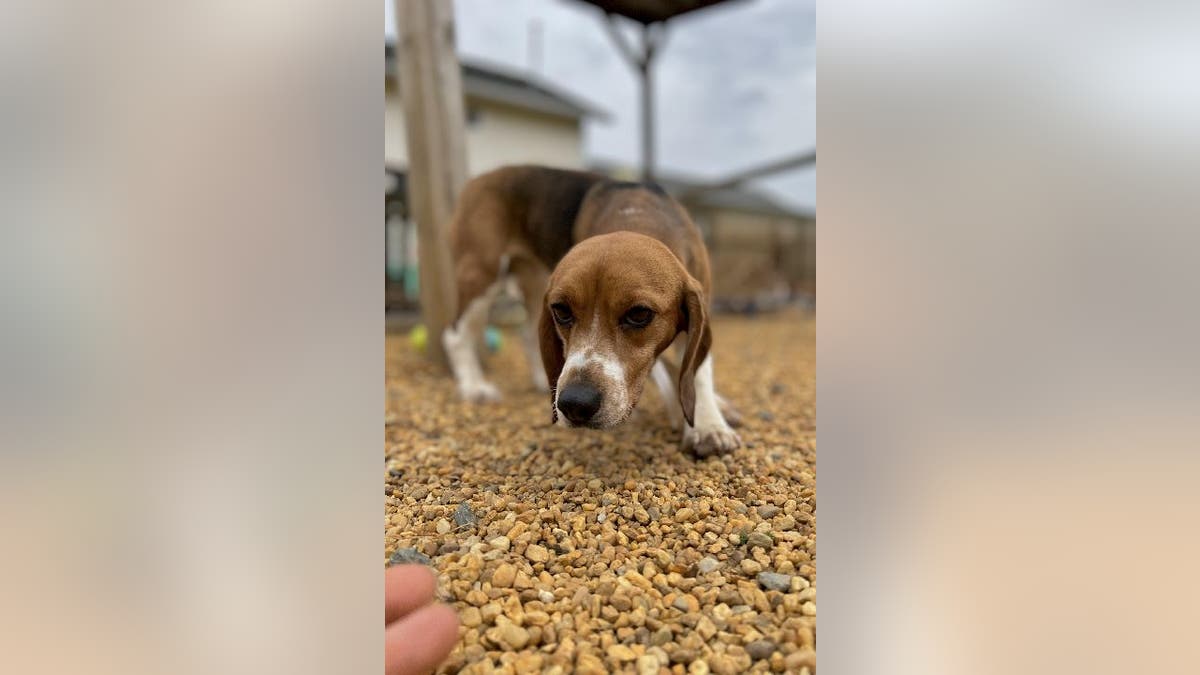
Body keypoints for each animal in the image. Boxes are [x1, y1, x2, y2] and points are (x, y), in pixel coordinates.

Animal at [441, 164, 739, 454]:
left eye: (639, 314)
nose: (575, 403)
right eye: (562, 311)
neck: (636, 216)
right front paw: (691, 416)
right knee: (455, 335)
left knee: (526, 333)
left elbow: (698, 372)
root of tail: (480, 178)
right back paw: (475, 387)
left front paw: (708, 424)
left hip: (532, 282)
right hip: (480, 277)